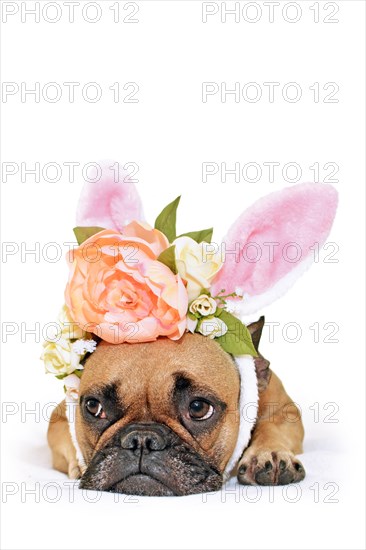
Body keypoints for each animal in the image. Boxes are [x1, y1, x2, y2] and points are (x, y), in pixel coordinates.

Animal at [48, 316, 306, 498]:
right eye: (94, 407)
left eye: (199, 408)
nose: (142, 439)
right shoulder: (59, 417)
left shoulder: (284, 409)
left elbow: (273, 425)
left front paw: (268, 453)